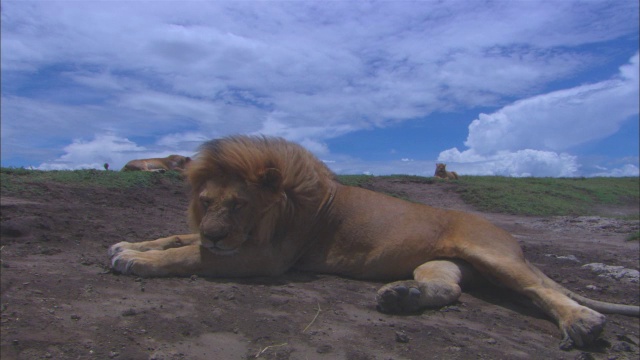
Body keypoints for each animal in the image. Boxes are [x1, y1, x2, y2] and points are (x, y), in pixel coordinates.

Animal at [107, 135, 636, 348]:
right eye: (206, 201)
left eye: (237, 205)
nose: (217, 233)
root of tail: (509, 236)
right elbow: (179, 236)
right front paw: (130, 244)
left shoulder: (266, 257)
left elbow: (187, 253)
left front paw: (134, 260)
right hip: (446, 263)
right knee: (450, 289)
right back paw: (402, 296)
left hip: (493, 254)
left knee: (542, 291)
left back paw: (584, 325)